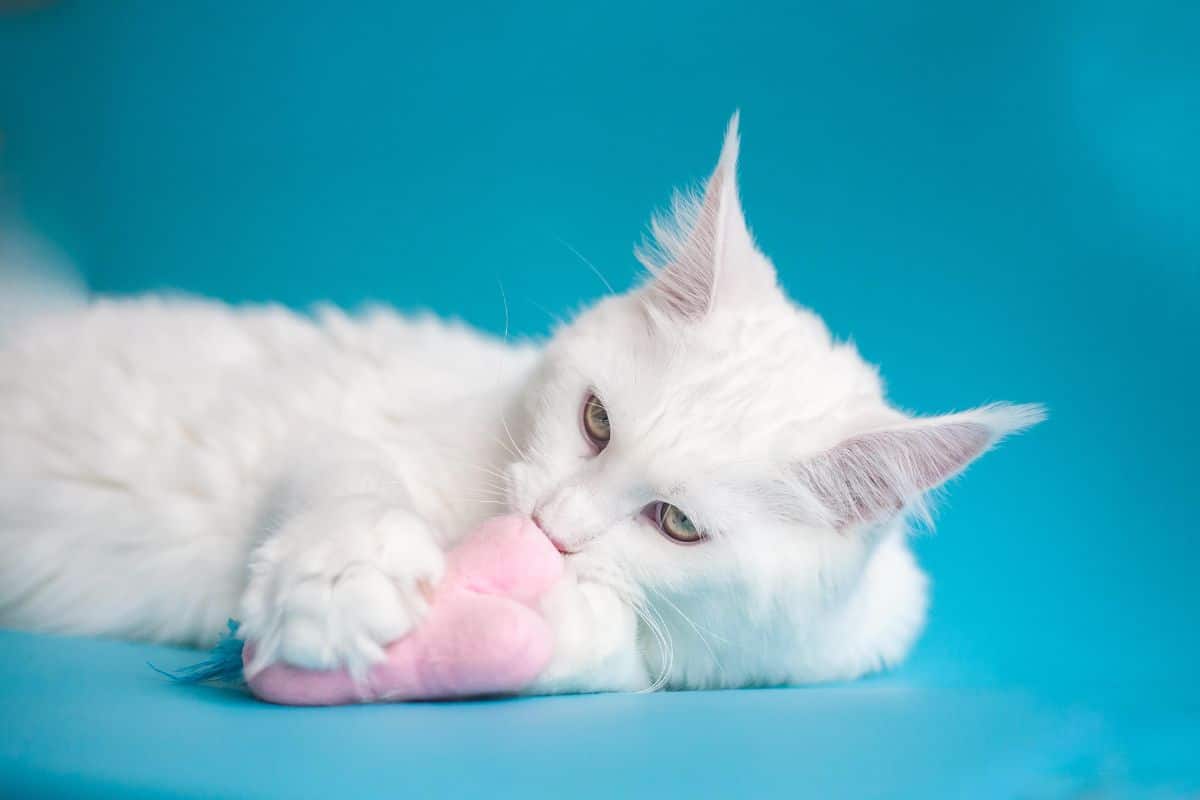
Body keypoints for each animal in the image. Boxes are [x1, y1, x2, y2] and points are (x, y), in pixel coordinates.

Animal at [0, 115, 1041, 695]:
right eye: (596, 423)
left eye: (677, 524)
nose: (549, 527)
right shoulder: (349, 437)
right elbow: (352, 494)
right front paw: (342, 584)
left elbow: (611, 650)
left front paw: (521, 631)